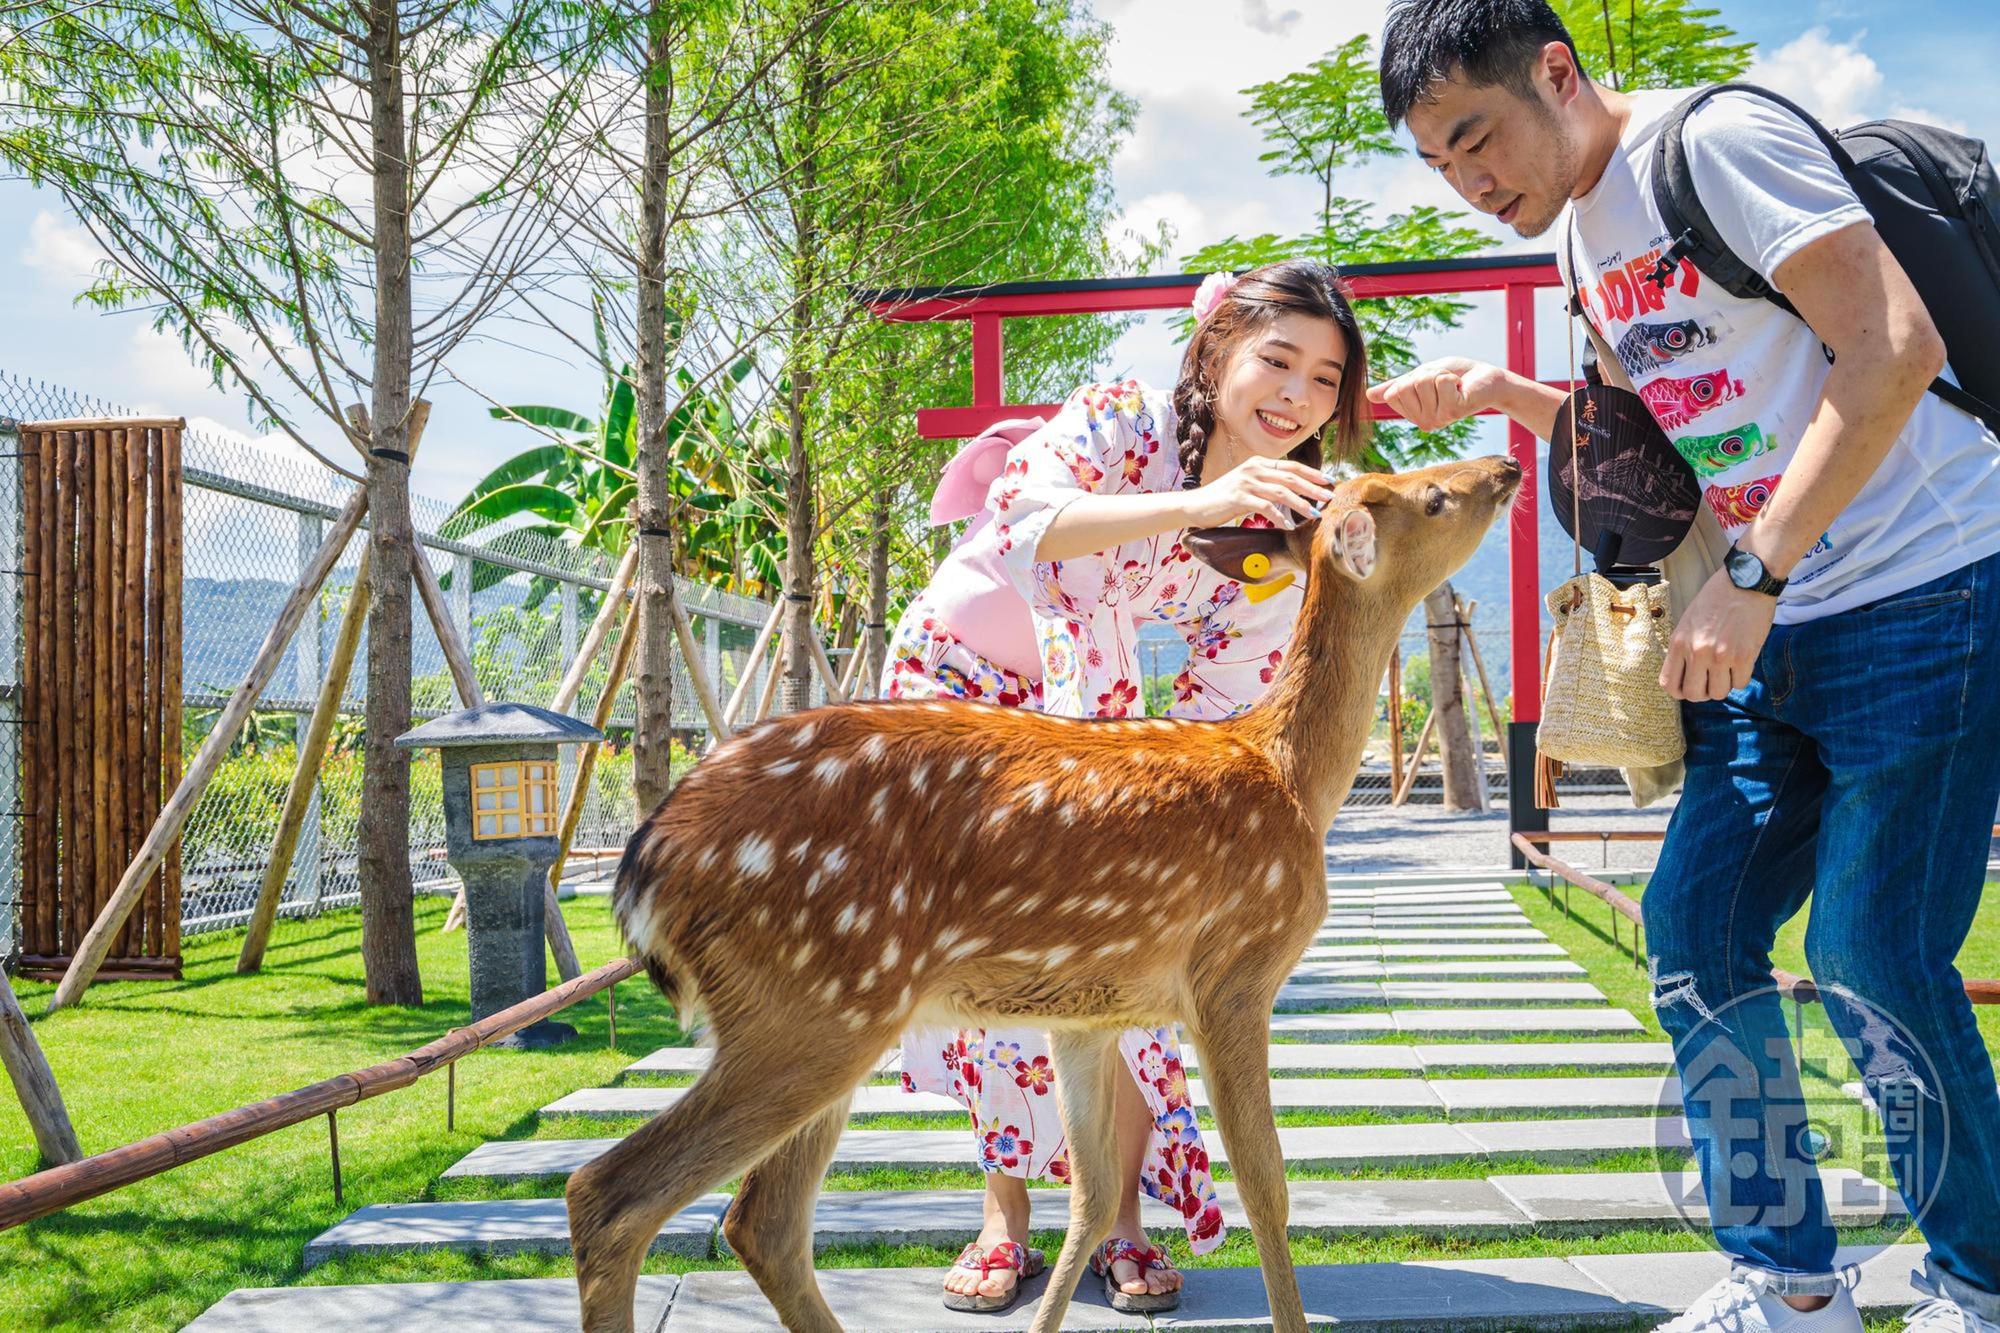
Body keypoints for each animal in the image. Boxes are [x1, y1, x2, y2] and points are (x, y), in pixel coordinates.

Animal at [571, 454, 1523, 1333]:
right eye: (1433, 497)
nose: (1508, 465)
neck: (1290, 776)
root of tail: (644, 866)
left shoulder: (1087, 1012)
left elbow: (1094, 1197)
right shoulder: (1234, 972)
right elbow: (1266, 1184)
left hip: (824, 1012)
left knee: (758, 1220)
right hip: (806, 1005)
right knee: (611, 1193)